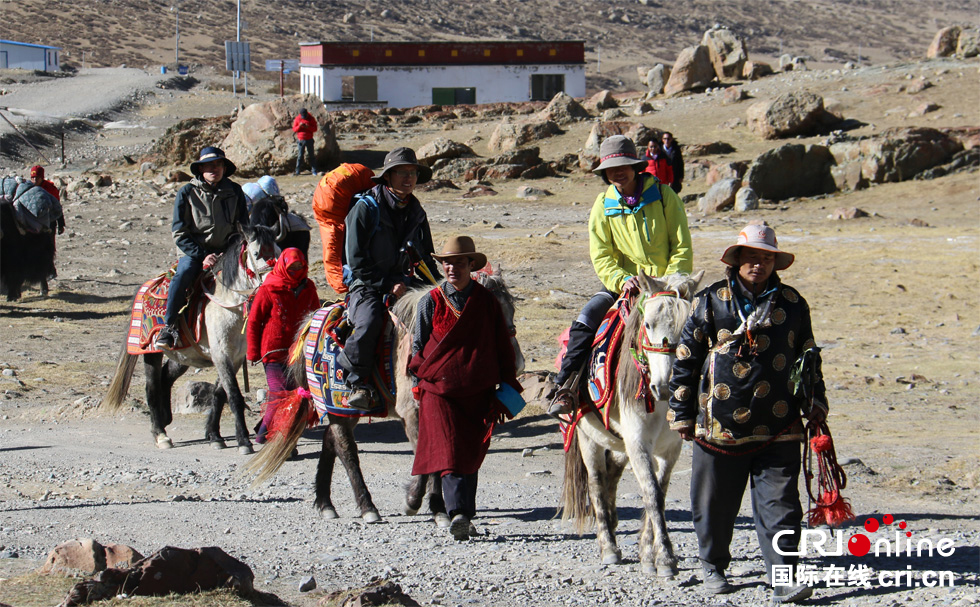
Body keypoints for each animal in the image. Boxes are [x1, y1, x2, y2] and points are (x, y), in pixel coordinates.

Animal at [103, 226, 278, 454]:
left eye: (278, 249)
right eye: (256, 253)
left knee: (165, 378)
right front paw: (243, 441)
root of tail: (144, 287)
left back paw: (166, 418)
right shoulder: (221, 355)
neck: (229, 305)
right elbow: (234, 396)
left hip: (183, 356)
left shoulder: (236, 357)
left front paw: (215, 436)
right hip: (151, 352)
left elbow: (219, 394)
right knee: (152, 387)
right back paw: (161, 435)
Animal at [560, 274, 704, 576]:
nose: (664, 387)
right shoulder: (638, 443)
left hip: (618, 443)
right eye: (647, 324)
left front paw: (649, 554)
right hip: (587, 437)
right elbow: (651, 494)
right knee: (596, 482)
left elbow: (660, 493)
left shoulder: (670, 449)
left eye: (689, 327)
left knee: (611, 475)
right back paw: (608, 547)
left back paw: (614, 525)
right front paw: (665, 558)